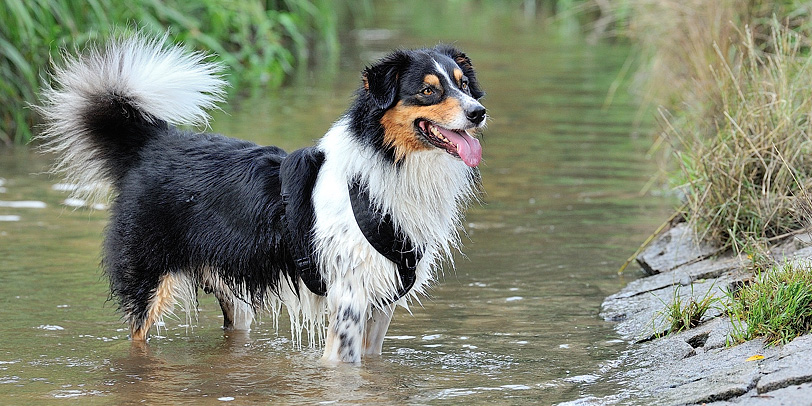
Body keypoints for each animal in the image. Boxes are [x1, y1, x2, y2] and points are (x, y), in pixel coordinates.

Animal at [35, 35, 486, 364]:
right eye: (427, 91)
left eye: (464, 85)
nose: (478, 112)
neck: (388, 161)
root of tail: (154, 142)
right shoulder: (349, 298)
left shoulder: (382, 301)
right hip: (147, 282)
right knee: (136, 341)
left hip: (233, 296)